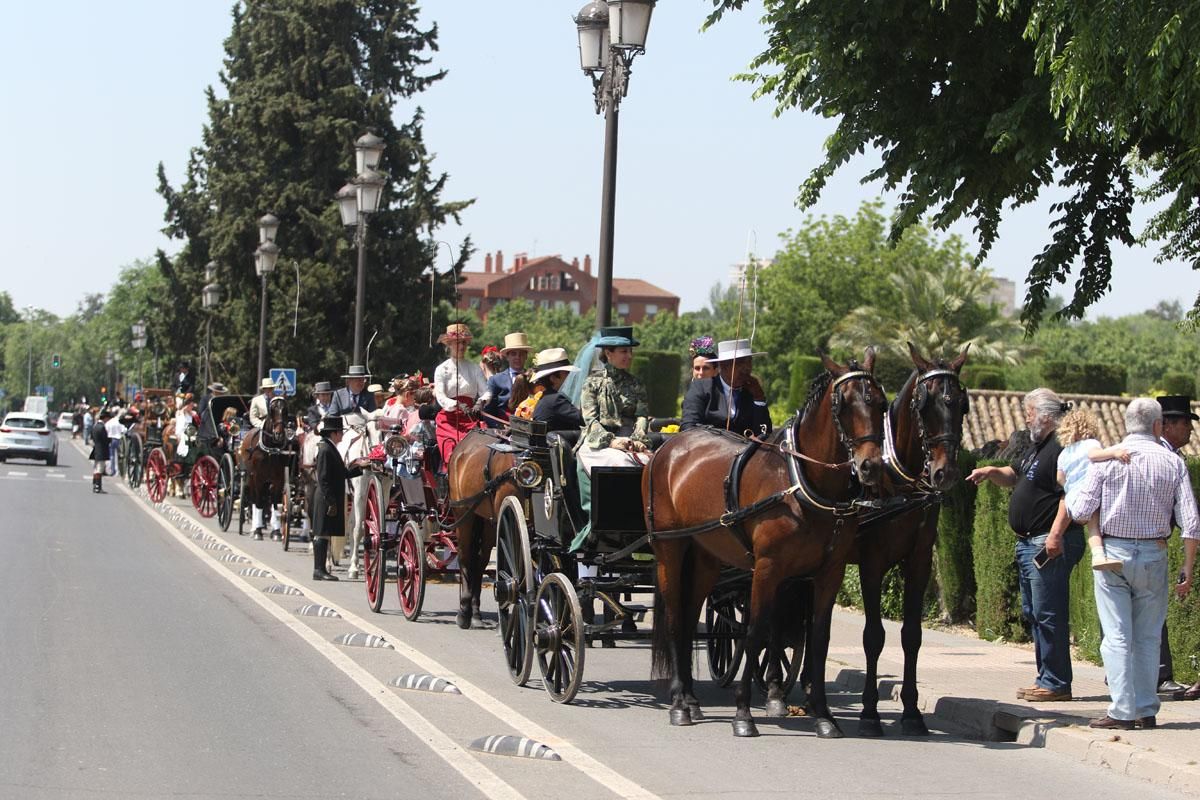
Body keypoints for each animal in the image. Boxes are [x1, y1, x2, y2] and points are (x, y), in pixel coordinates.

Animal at [237, 398, 294, 542]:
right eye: (272, 410)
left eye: (285, 410)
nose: (279, 434)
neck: (271, 450)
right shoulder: (258, 477)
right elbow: (258, 503)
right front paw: (257, 531)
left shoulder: (278, 479)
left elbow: (275, 503)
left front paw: (277, 532)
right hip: (251, 478)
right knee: (254, 499)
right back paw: (254, 528)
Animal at [444, 429, 513, 628]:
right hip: (463, 514)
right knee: (465, 556)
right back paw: (464, 611)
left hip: (487, 521)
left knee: (480, 561)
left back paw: (475, 612)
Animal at [643, 350, 888, 738]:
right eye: (844, 404)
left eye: (881, 403)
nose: (870, 466)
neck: (799, 481)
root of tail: (667, 448)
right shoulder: (768, 568)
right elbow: (756, 632)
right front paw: (744, 713)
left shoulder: (829, 572)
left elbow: (818, 637)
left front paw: (824, 715)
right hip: (670, 550)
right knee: (674, 618)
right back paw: (680, 704)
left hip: (705, 556)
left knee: (689, 614)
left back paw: (691, 700)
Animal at [849, 345, 969, 738]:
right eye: (923, 405)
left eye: (961, 405)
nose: (945, 473)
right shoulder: (871, 563)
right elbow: (873, 635)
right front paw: (869, 711)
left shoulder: (918, 561)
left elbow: (911, 636)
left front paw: (913, 712)